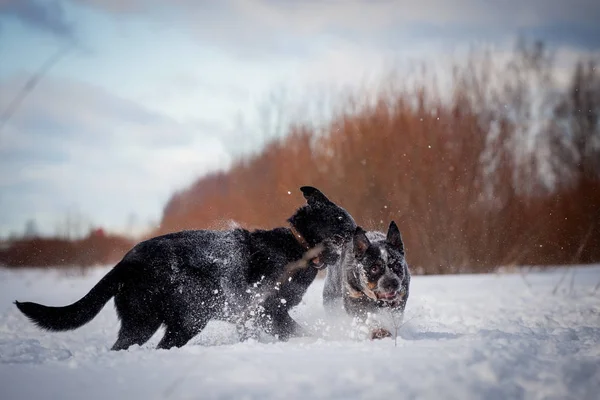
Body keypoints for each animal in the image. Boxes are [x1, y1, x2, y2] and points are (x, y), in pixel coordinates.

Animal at [15, 186, 356, 348]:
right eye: (342, 219)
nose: (361, 232)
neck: (298, 246)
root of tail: (125, 262)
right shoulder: (269, 312)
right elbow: (302, 332)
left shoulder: (254, 317)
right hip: (179, 319)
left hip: (159, 323)